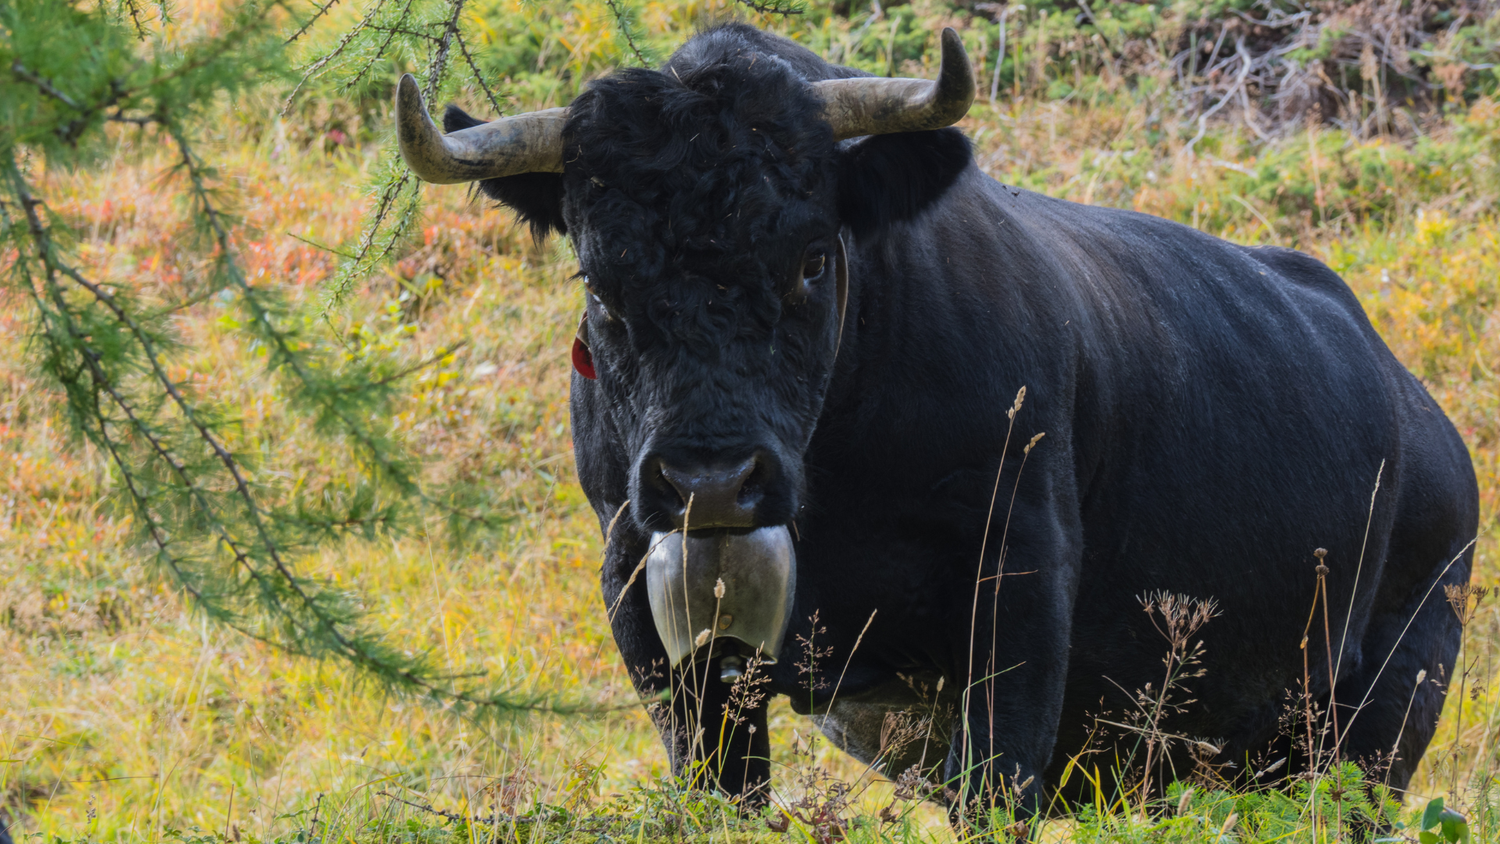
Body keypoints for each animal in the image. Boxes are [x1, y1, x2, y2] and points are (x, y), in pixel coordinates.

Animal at [393, 23, 1478, 821]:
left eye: (812, 258)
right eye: (599, 280)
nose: (712, 479)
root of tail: (1423, 416)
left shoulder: (1018, 591)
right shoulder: (645, 601)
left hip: (1380, 718)